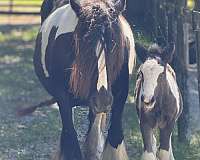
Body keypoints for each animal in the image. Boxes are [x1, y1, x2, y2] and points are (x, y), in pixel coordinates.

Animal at [33, 0, 136, 159]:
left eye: (115, 47)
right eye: (84, 47)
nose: (102, 100)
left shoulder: (121, 95)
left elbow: (114, 137)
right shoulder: (62, 97)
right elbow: (70, 137)